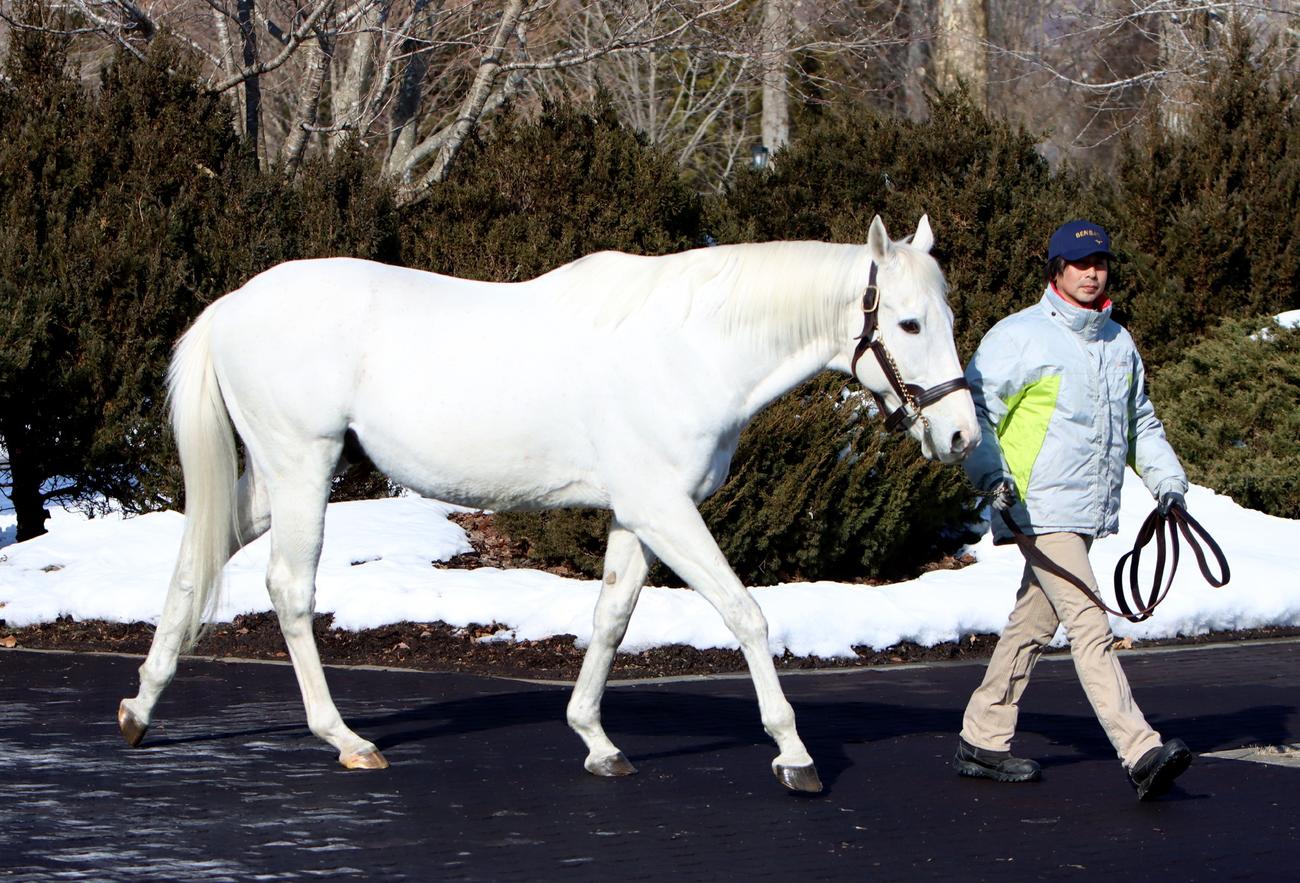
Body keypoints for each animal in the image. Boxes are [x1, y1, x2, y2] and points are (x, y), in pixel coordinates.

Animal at [118, 214, 977, 794]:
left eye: (948, 317)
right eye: (908, 322)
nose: (962, 433)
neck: (691, 346)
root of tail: (232, 304)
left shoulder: (637, 514)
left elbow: (612, 617)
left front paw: (596, 739)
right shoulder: (665, 510)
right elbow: (746, 614)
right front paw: (794, 754)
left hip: (272, 477)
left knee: (198, 558)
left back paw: (140, 705)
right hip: (303, 464)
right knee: (291, 590)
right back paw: (345, 737)